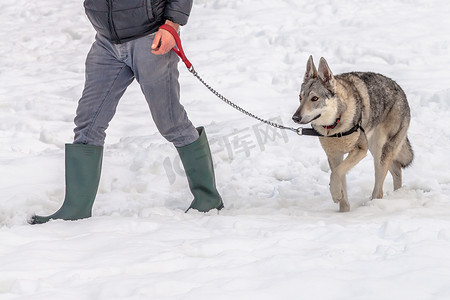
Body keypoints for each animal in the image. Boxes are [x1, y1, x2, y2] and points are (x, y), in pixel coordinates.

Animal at [294, 55, 414, 211]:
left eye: (314, 98)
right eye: (300, 98)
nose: (295, 117)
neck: (334, 126)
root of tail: (401, 90)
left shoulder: (359, 150)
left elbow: (336, 173)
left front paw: (335, 194)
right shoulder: (334, 156)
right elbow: (340, 181)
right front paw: (343, 211)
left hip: (379, 151)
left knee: (379, 189)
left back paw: (372, 205)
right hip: (375, 149)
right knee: (397, 171)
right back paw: (397, 195)